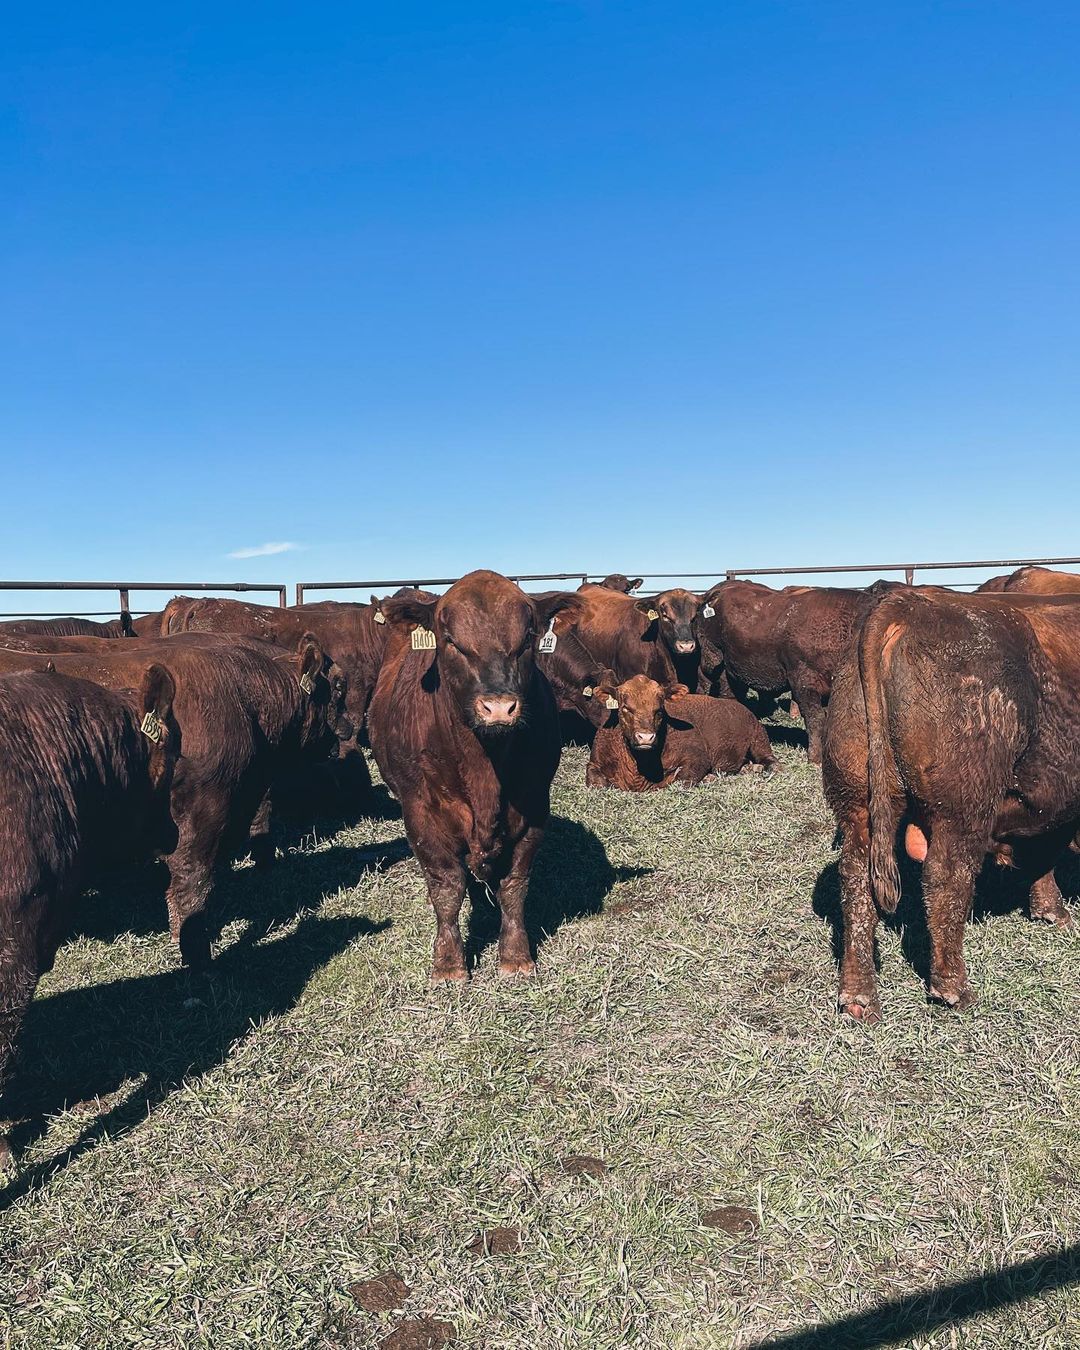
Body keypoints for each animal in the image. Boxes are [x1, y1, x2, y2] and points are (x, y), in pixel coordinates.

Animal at [364, 569, 577, 982]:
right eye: (452, 642)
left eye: (526, 639)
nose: (498, 707)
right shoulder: (422, 814)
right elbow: (447, 887)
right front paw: (449, 964)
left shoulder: (534, 808)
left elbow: (514, 886)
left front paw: (516, 957)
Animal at [583, 675, 777, 788]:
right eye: (625, 708)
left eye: (659, 709)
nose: (645, 737)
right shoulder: (594, 763)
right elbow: (598, 783)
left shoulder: (697, 757)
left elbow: (680, 780)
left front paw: (708, 778)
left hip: (759, 738)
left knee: (772, 761)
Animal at [696, 577, 891, 761]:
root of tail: (714, 592)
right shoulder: (803, 682)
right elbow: (815, 719)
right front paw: (815, 757)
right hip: (712, 659)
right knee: (705, 684)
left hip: (731, 671)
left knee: (730, 694)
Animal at [820, 591, 1074, 1020]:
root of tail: (908, 603)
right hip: (964, 808)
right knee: (947, 876)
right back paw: (954, 989)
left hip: (857, 802)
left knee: (856, 878)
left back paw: (859, 997)